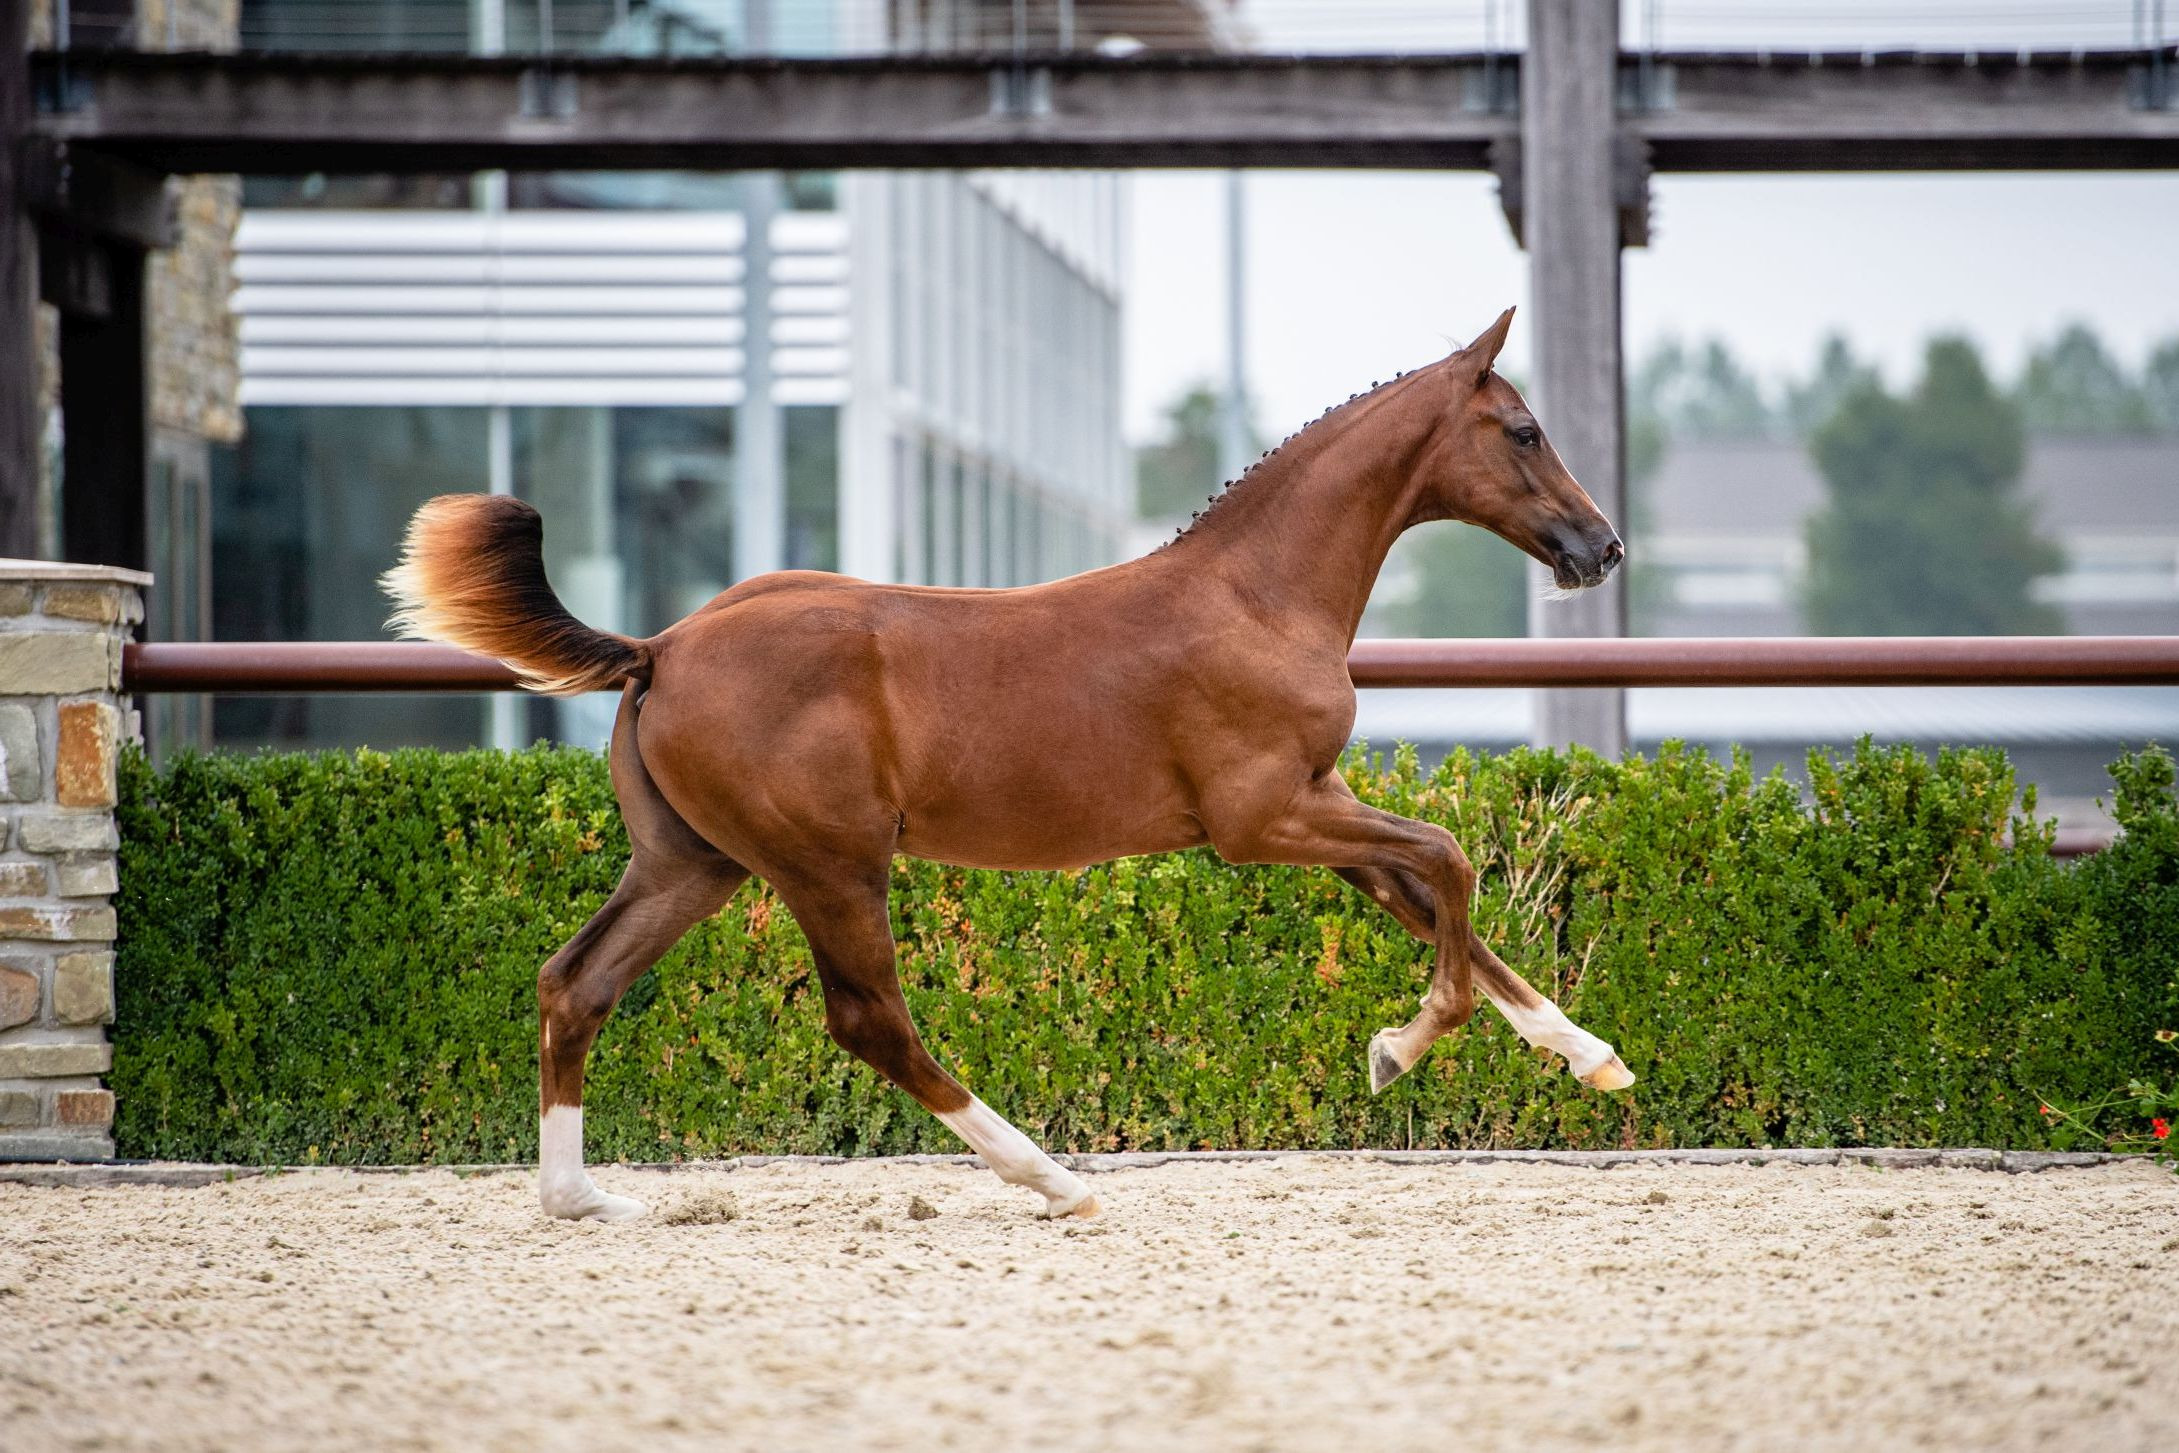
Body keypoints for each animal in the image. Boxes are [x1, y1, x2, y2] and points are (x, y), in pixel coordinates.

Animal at [383, 308, 1630, 1224]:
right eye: (1522, 430)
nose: (1602, 547)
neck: (1256, 597)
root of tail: (662, 646)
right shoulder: (1263, 817)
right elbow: (1451, 859)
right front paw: (1393, 1051)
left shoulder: (1312, 804)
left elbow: (1431, 897)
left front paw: (1591, 1058)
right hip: (828, 865)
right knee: (869, 1020)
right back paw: (1053, 1178)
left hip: (693, 862)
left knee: (575, 979)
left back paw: (582, 1198)